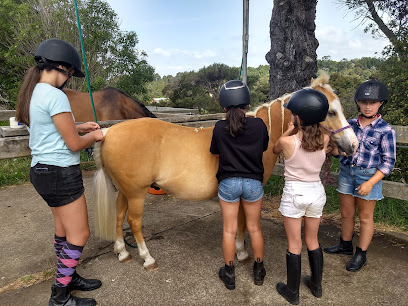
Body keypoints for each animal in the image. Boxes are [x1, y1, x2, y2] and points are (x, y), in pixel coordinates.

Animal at [91, 73, 356, 270]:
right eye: (330, 111)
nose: (352, 145)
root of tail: (109, 132)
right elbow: (242, 222)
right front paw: (241, 252)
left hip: (124, 190)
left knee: (118, 215)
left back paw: (122, 252)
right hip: (136, 193)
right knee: (134, 222)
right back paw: (147, 258)